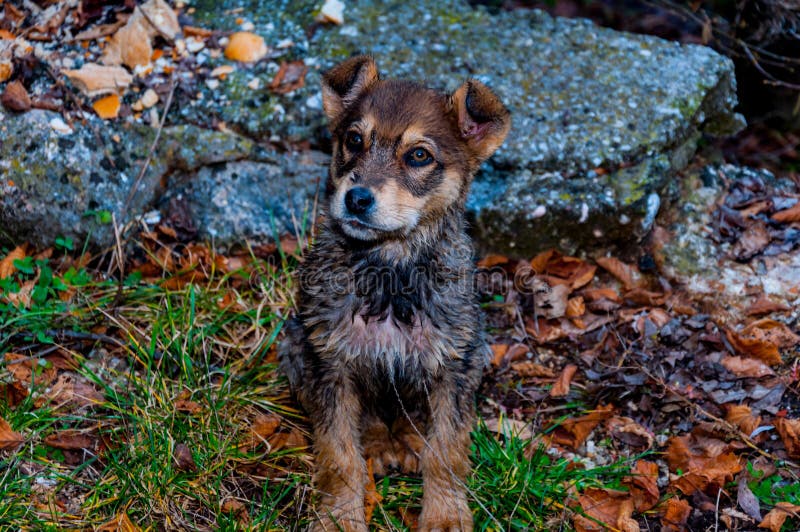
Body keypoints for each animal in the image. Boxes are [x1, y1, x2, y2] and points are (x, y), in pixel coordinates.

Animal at [278, 56, 510, 528]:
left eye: (419, 155)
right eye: (353, 140)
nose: (356, 199)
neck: (390, 266)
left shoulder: (454, 366)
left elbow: (447, 450)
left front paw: (445, 515)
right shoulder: (330, 364)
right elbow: (339, 454)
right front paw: (339, 518)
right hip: (294, 344)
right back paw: (381, 445)